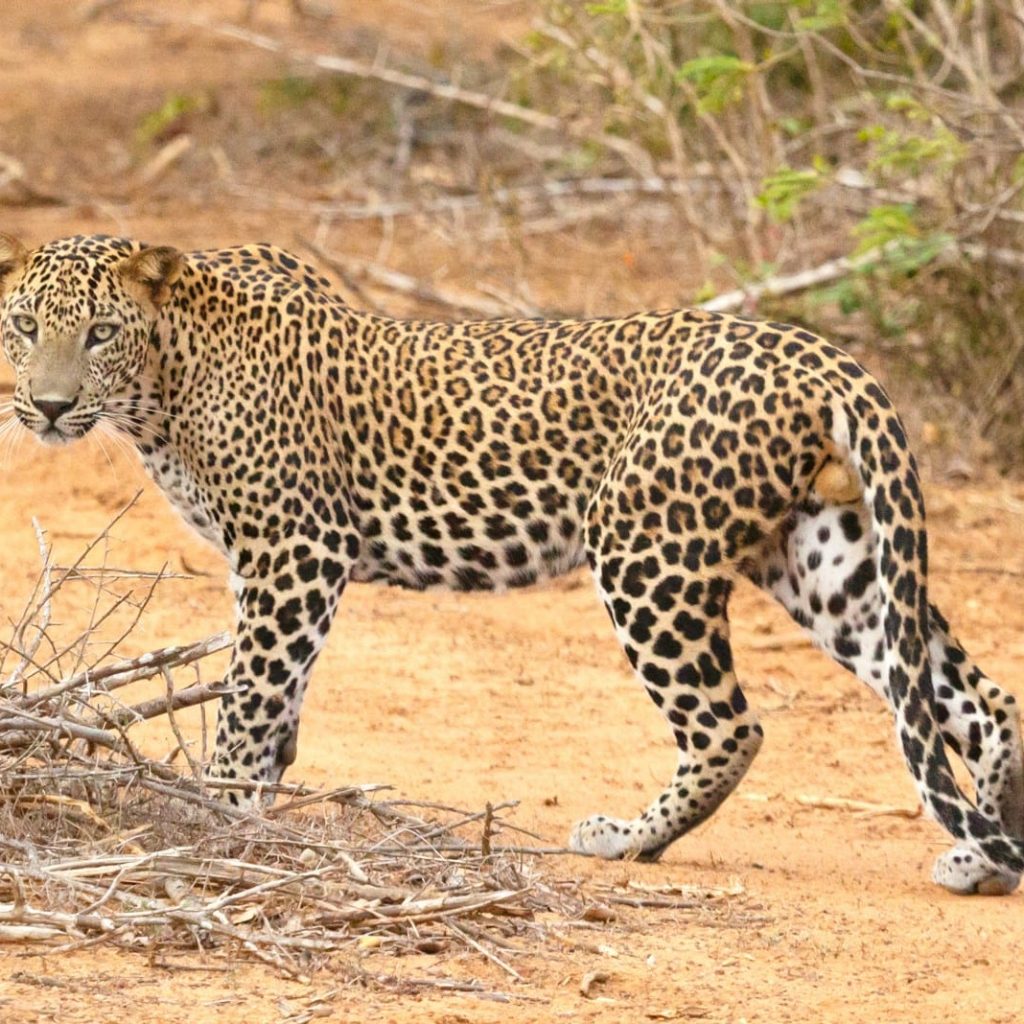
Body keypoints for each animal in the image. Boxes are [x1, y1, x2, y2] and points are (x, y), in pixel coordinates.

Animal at [1, 231, 1022, 896]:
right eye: (21, 326)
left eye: (98, 333)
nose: (45, 407)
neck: (162, 386)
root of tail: (820, 354)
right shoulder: (278, 565)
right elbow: (278, 705)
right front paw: (254, 809)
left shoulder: (296, 549)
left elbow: (250, 699)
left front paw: (217, 820)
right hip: (829, 561)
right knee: (971, 700)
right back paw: (983, 854)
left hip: (644, 548)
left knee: (730, 726)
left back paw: (625, 841)